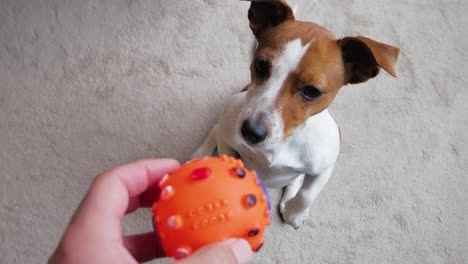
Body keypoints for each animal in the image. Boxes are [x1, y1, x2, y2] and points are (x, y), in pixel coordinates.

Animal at [190, 0, 398, 228]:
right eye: (260, 64)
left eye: (312, 91)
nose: (251, 131)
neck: (283, 141)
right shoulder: (229, 140)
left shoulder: (324, 167)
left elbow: (307, 194)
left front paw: (294, 212)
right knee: (215, 129)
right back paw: (199, 157)